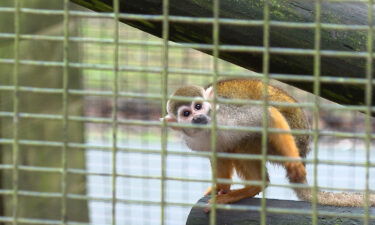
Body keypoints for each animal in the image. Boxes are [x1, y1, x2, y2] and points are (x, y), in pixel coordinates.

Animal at [164, 79, 375, 209]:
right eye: (186, 114)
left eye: (198, 106)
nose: (198, 117)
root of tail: (304, 150)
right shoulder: (194, 140)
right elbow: (219, 152)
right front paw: (221, 187)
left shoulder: (228, 117)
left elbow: (266, 115)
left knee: (247, 139)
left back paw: (258, 184)